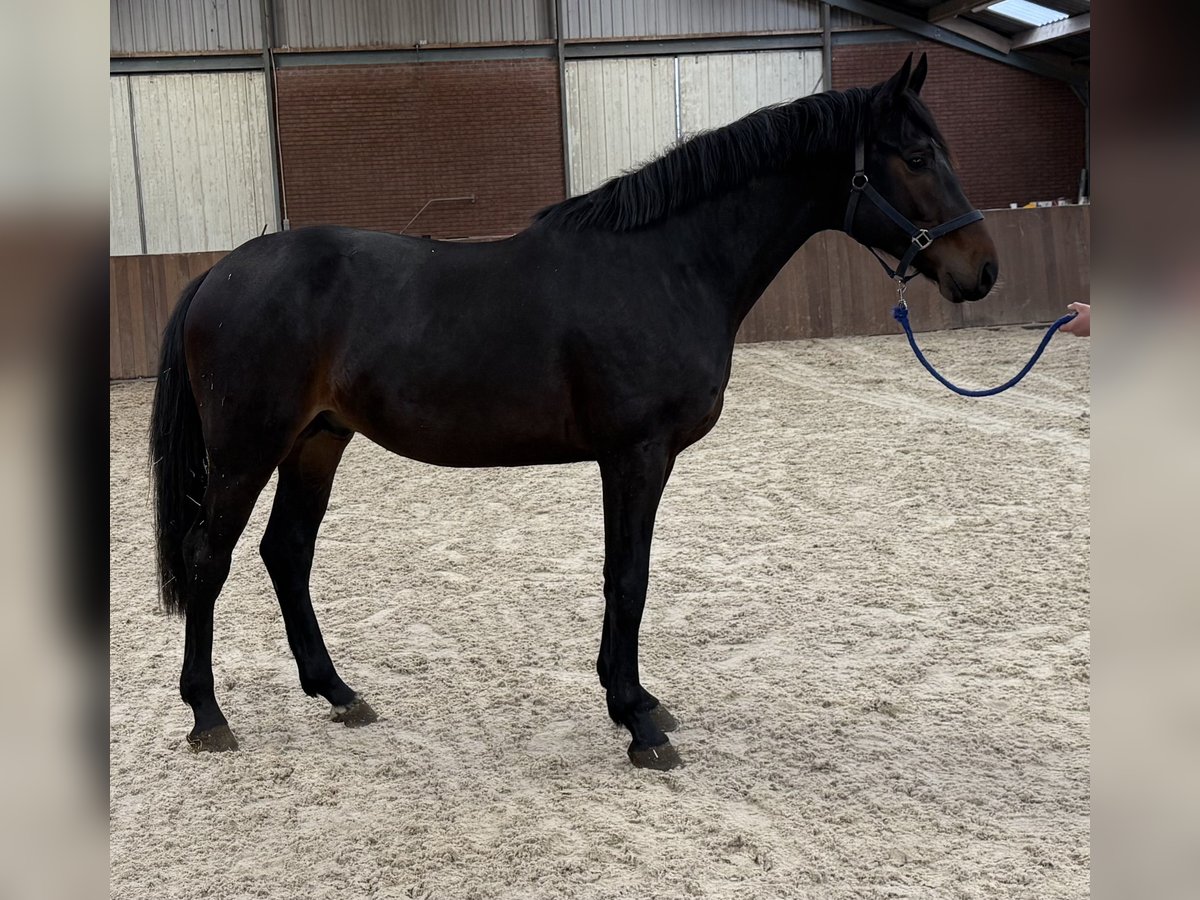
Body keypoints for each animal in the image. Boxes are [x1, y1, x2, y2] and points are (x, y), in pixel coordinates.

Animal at [149, 53, 997, 770]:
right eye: (916, 158)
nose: (983, 270)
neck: (666, 265)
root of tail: (218, 274)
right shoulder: (636, 454)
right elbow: (628, 578)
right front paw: (638, 722)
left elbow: (630, 578)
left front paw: (640, 700)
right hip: (245, 450)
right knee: (208, 558)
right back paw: (208, 716)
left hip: (317, 441)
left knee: (286, 552)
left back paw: (338, 692)